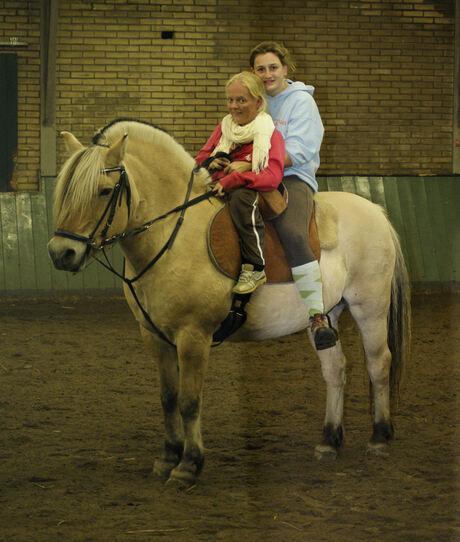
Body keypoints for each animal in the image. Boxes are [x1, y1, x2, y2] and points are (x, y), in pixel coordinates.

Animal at [48, 118, 412, 488]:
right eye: (66, 191)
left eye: (104, 191)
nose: (62, 253)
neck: (173, 236)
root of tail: (376, 211)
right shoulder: (154, 336)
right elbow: (168, 398)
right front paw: (168, 457)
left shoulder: (193, 337)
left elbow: (189, 401)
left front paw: (189, 465)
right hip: (325, 315)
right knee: (335, 369)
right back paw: (329, 440)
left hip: (370, 307)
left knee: (378, 363)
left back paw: (380, 437)